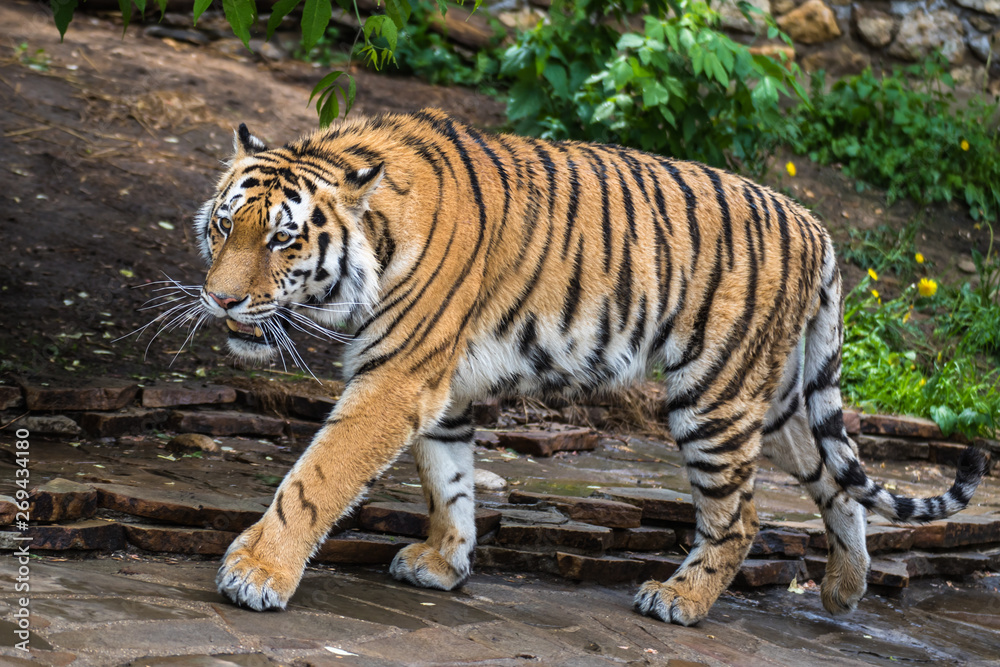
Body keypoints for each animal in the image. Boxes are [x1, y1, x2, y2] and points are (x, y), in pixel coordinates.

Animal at [184, 108, 988, 628]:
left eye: (284, 240)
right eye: (224, 226)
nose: (220, 297)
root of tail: (816, 224)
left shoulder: (397, 377)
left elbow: (316, 477)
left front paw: (256, 572)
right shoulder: (441, 388)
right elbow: (448, 480)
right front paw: (446, 561)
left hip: (714, 395)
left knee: (741, 517)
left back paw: (680, 601)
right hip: (780, 398)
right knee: (837, 482)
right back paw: (844, 593)